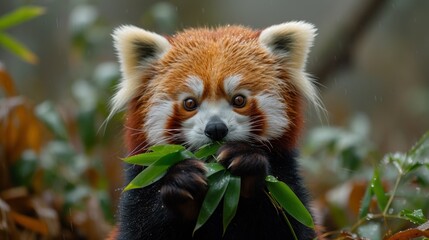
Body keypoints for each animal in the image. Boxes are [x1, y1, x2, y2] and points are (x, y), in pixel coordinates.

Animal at [109, 22, 320, 240]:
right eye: (189, 103)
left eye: (239, 100)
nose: (216, 128)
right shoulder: (142, 182)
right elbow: (141, 226)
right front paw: (182, 181)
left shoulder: (286, 176)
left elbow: (291, 225)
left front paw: (247, 162)